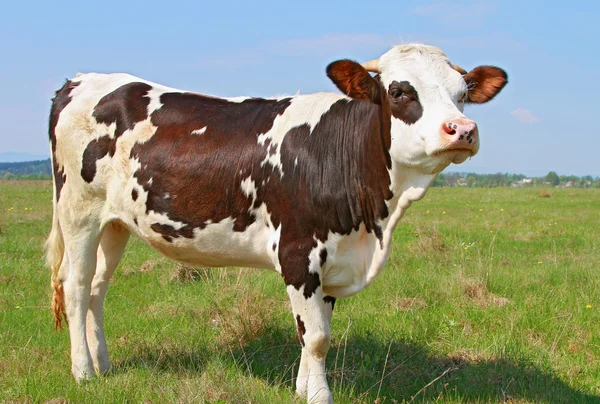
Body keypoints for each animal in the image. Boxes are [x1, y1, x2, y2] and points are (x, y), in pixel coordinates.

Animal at [45, 42, 506, 402]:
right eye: (399, 91)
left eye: (462, 93)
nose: (462, 129)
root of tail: (82, 80)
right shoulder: (299, 253)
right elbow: (316, 337)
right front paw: (319, 396)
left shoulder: (332, 260)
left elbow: (316, 331)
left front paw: (302, 389)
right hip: (78, 212)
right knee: (76, 286)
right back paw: (83, 373)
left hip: (116, 223)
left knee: (98, 288)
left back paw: (104, 365)